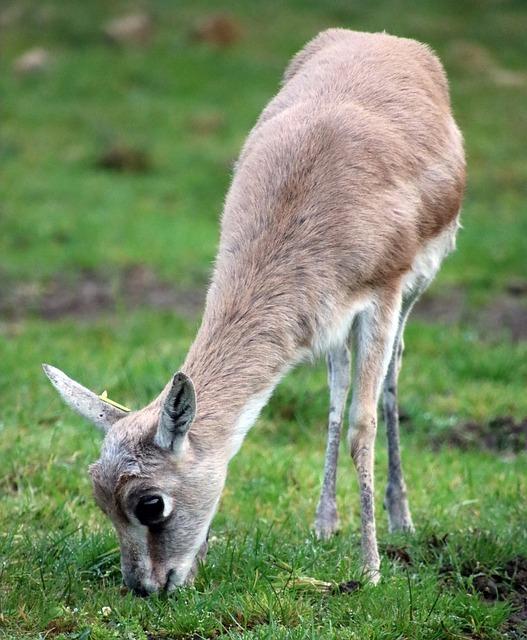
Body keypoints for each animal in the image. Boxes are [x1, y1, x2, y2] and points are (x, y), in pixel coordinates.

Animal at [44, 28, 466, 596]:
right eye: (98, 497)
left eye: (151, 504)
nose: (145, 587)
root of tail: (384, 39)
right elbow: (338, 408)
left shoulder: (384, 293)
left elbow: (363, 425)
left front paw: (372, 570)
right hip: (336, 326)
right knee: (336, 392)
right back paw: (324, 523)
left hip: (412, 292)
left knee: (393, 371)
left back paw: (401, 518)